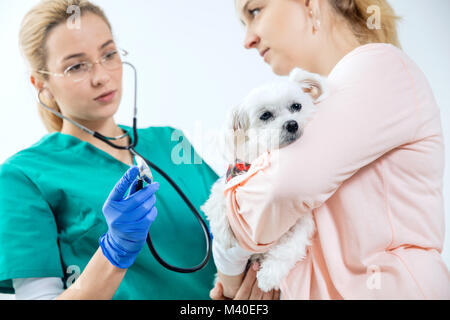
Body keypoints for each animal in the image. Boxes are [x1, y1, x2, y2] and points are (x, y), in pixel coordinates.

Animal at [202, 67, 328, 298]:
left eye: (296, 106)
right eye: (266, 115)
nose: (292, 124)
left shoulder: (302, 221)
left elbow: (290, 248)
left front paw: (269, 275)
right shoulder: (228, 180)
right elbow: (218, 200)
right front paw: (223, 232)